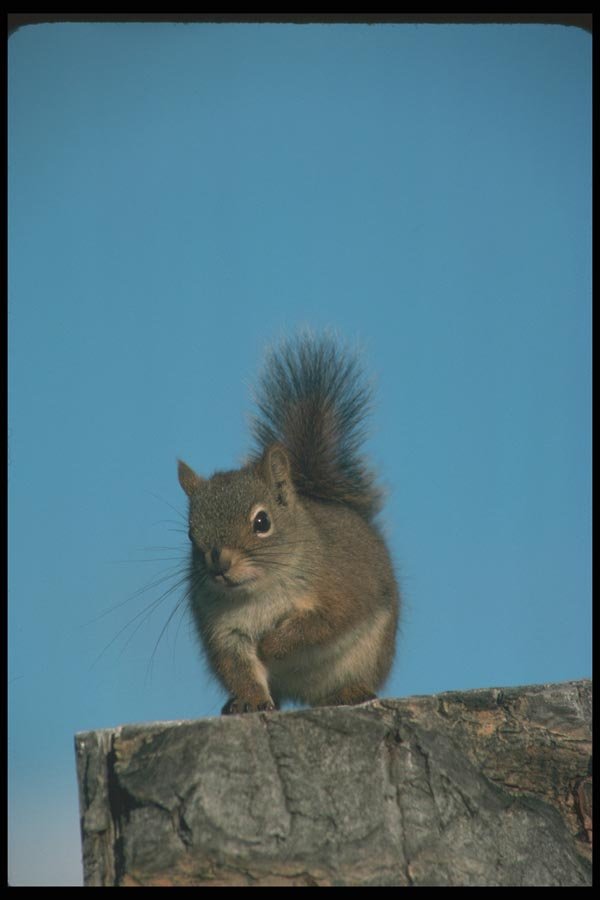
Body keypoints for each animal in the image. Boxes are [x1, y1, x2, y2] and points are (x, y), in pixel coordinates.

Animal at [177, 334, 399, 714]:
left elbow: (322, 623)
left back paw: (348, 692)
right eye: (192, 534)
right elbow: (239, 667)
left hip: (369, 653)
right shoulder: (224, 631)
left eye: (262, 521)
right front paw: (251, 700)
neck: (259, 591)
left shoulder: (339, 591)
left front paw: (272, 645)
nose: (219, 563)